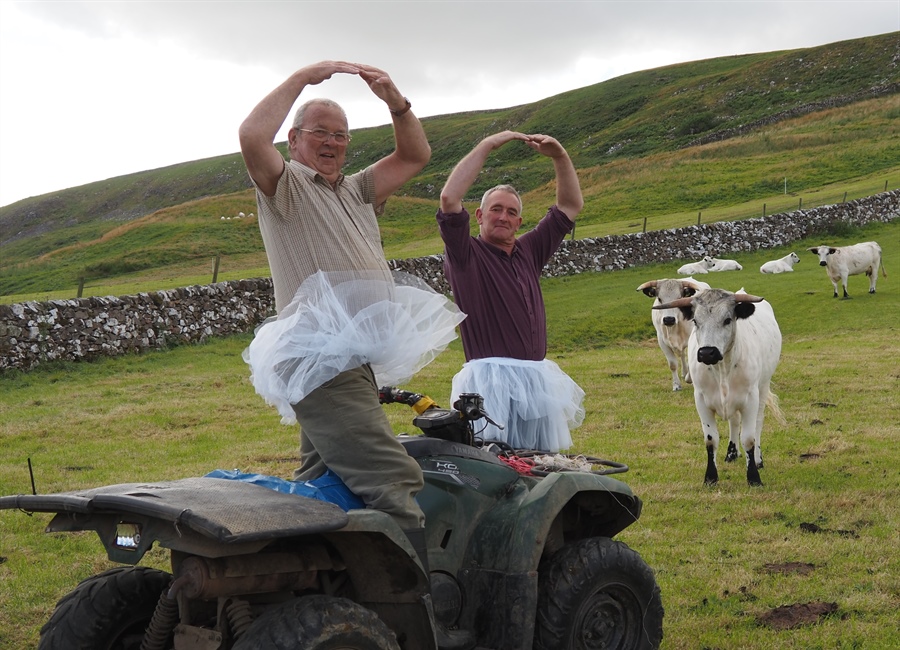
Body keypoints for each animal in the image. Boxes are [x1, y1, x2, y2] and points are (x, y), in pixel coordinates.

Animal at [652, 288, 784, 480]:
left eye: (727, 320)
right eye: (695, 321)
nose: (707, 353)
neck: (722, 369)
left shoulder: (750, 399)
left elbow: (749, 438)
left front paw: (753, 477)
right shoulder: (701, 400)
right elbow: (711, 439)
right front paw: (711, 477)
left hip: (763, 387)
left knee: (758, 423)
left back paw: (758, 459)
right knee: (734, 421)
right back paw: (732, 453)